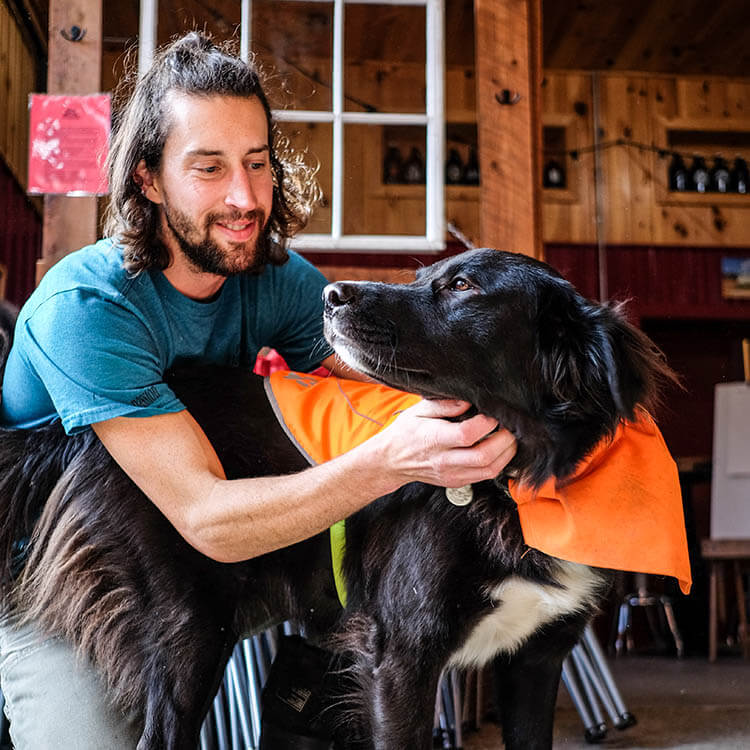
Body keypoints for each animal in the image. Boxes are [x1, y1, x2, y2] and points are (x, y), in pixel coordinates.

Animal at [0, 251, 672, 750]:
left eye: (461, 285)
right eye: (426, 276)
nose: (332, 295)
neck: (515, 489)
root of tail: (84, 432)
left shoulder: (538, 658)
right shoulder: (400, 660)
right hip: (187, 634)